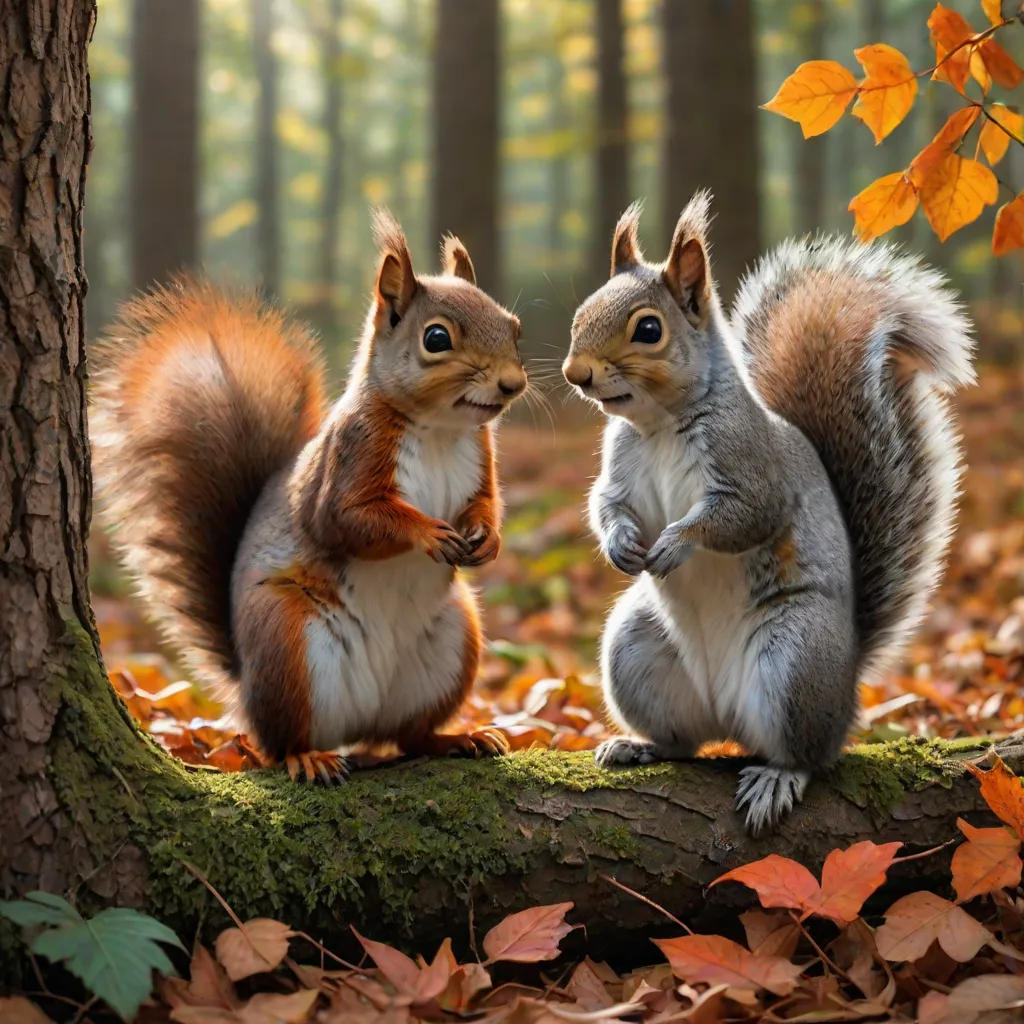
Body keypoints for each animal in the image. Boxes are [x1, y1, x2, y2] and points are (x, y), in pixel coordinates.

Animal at [91, 210, 527, 783]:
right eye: (436, 338)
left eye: (514, 326)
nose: (513, 384)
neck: (439, 429)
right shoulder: (349, 462)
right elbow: (349, 521)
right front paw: (428, 532)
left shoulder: (482, 460)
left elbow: (485, 503)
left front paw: (488, 539)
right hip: (287, 641)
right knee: (281, 743)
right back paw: (308, 757)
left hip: (454, 642)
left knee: (409, 737)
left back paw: (457, 738)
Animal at [562, 191, 974, 833]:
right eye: (580, 315)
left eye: (648, 329)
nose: (574, 373)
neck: (657, 424)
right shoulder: (622, 466)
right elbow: (608, 503)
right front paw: (620, 542)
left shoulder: (751, 467)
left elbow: (741, 517)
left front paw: (677, 542)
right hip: (635, 649)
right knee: (684, 740)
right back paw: (639, 746)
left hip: (794, 658)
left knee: (807, 754)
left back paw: (779, 776)